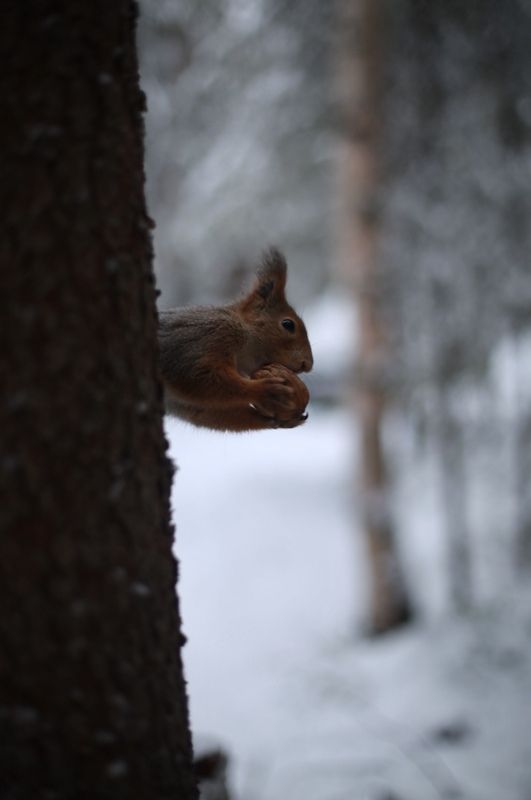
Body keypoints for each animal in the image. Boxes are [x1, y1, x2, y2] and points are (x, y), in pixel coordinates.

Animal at [158, 248, 313, 432]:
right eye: (288, 324)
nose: (308, 365)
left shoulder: (180, 402)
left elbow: (206, 412)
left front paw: (282, 420)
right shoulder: (205, 338)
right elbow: (196, 376)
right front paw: (265, 390)